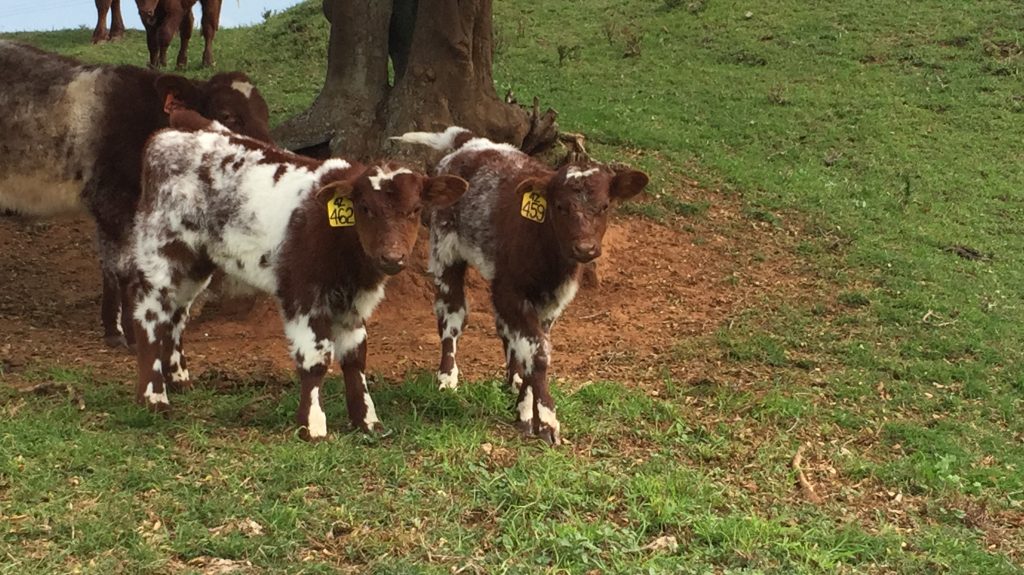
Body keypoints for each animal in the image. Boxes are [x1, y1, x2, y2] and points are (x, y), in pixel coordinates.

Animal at [0, 40, 272, 348]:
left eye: (265, 114)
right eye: (228, 116)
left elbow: (110, 268)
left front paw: (113, 330)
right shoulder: (115, 203)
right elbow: (126, 269)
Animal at [130, 109, 468, 441]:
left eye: (415, 209)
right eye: (364, 208)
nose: (392, 257)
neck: (340, 241)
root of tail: (169, 135)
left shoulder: (354, 301)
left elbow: (355, 357)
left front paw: (367, 421)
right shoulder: (303, 292)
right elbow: (315, 359)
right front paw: (313, 425)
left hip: (196, 263)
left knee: (176, 314)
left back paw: (179, 380)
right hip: (161, 251)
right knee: (150, 316)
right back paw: (154, 398)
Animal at [393, 127, 649, 445]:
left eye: (604, 206)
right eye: (560, 206)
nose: (585, 248)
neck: (547, 256)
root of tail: (471, 142)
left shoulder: (550, 303)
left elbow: (532, 348)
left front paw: (526, 409)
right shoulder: (511, 290)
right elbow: (537, 354)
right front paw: (546, 421)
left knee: (505, 330)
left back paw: (512, 380)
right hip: (444, 251)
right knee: (452, 315)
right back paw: (447, 378)